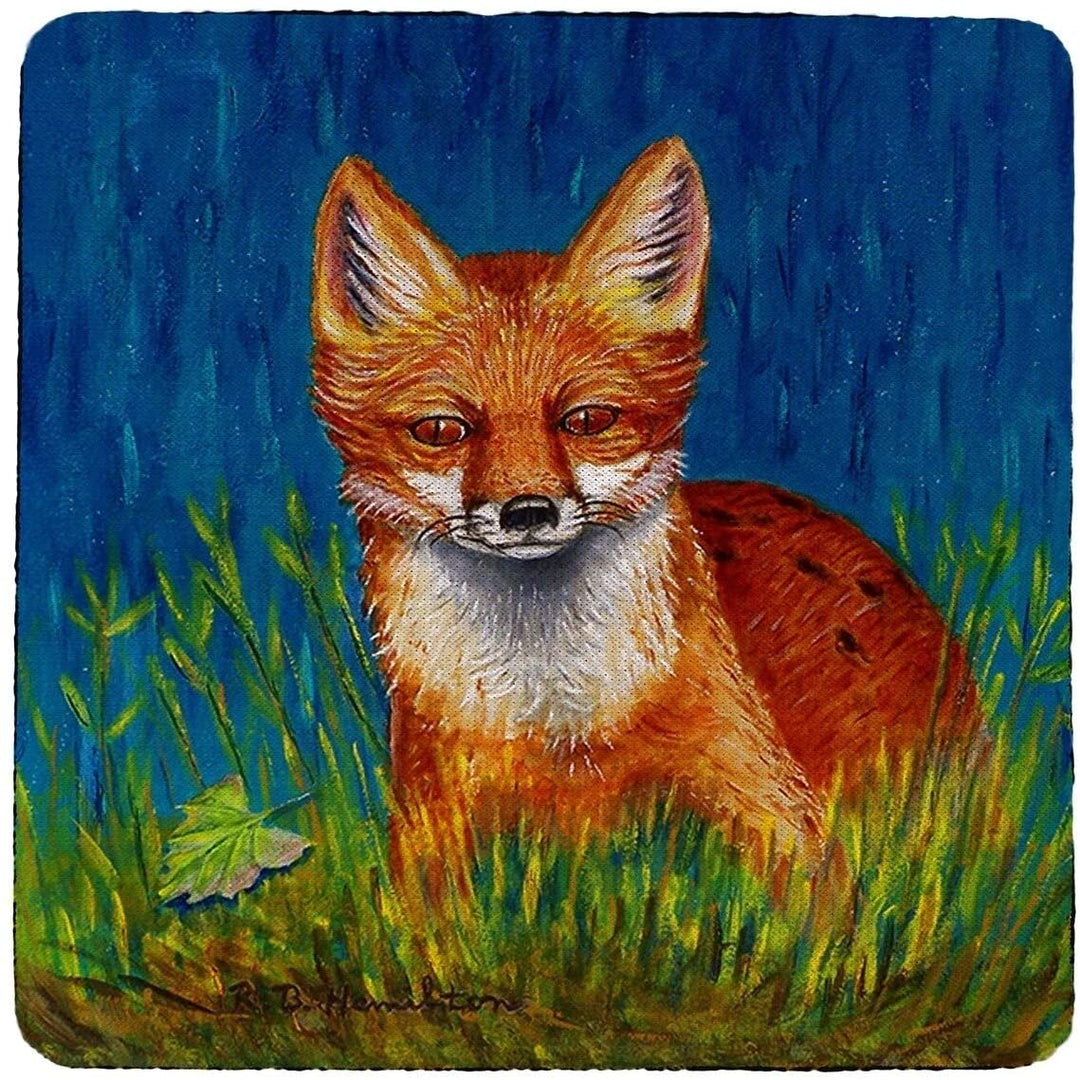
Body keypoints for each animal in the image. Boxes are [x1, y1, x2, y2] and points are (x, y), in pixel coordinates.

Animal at [309, 138, 979, 870]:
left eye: (587, 420)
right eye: (440, 430)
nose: (527, 511)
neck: (553, 717)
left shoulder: (774, 807)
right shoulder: (431, 819)